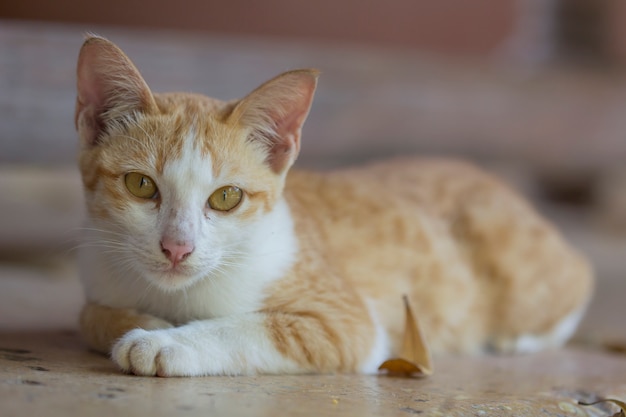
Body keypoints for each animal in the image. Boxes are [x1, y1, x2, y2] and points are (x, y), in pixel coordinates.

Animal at [75, 35, 592, 374]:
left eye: (226, 197)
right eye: (141, 185)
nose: (177, 248)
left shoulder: (347, 321)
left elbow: (253, 327)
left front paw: (164, 343)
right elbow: (87, 316)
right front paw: (135, 322)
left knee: (580, 280)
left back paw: (519, 338)